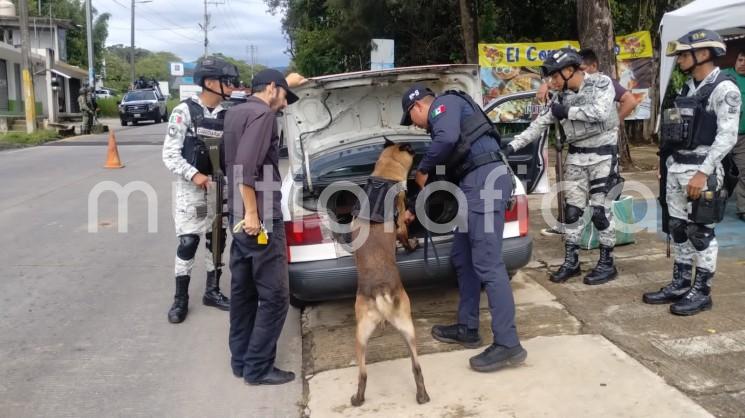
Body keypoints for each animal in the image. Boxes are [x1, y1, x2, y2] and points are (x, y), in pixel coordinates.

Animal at [350, 140, 430, 404]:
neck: (383, 175)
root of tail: (380, 290)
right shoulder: (402, 223)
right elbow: (404, 235)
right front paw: (411, 245)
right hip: (405, 327)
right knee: (414, 367)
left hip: (371, 335)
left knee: (366, 373)